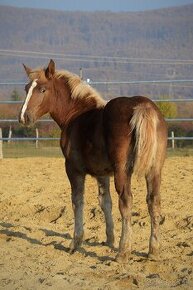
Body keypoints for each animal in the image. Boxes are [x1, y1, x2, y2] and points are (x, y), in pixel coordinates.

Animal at [18, 59, 168, 262]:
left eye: (42, 89)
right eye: (27, 88)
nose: (23, 117)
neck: (75, 114)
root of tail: (144, 107)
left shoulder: (73, 169)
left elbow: (77, 201)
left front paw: (75, 243)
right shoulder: (102, 174)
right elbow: (105, 203)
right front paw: (109, 240)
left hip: (122, 171)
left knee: (126, 201)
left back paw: (123, 252)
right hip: (154, 170)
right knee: (153, 201)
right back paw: (153, 251)